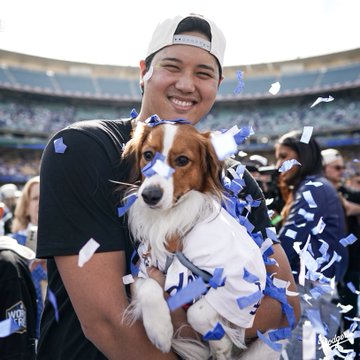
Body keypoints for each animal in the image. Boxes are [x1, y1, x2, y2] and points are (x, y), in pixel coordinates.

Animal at [121, 120, 276, 360]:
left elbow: (198, 311)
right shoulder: (143, 268)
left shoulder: (246, 281)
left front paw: (220, 342)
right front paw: (159, 330)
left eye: (182, 160)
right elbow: (148, 287)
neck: (172, 219)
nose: (149, 195)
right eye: (148, 155)